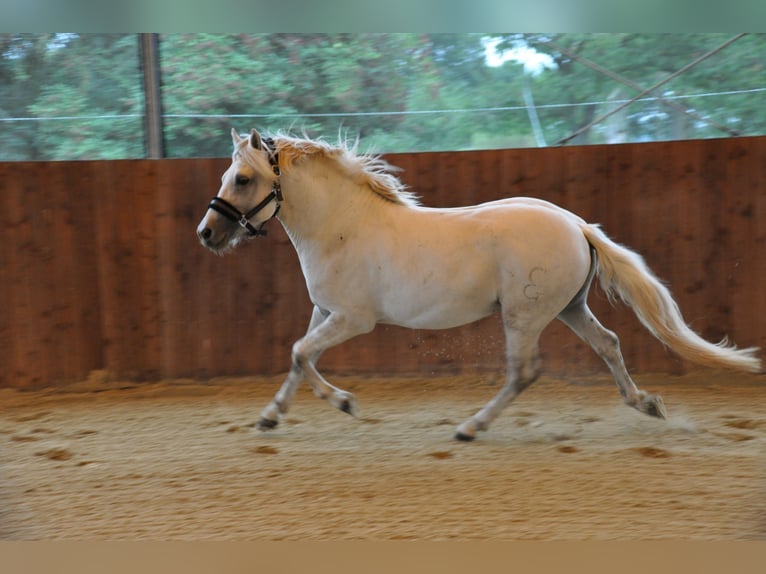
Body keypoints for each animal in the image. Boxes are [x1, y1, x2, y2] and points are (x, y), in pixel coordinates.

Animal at [196, 130, 760, 444]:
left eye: (242, 179)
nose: (206, 234)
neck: (342, 225)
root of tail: (576, 224)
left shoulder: (353, 319)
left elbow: (299, 353)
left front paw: (345, 403)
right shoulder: (325, 312)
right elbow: (299, 357)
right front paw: (271, 417)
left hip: (524, 316)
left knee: (524, 371)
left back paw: (470, 428)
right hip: (568, 308)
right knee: (608, 344)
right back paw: (646, 404)